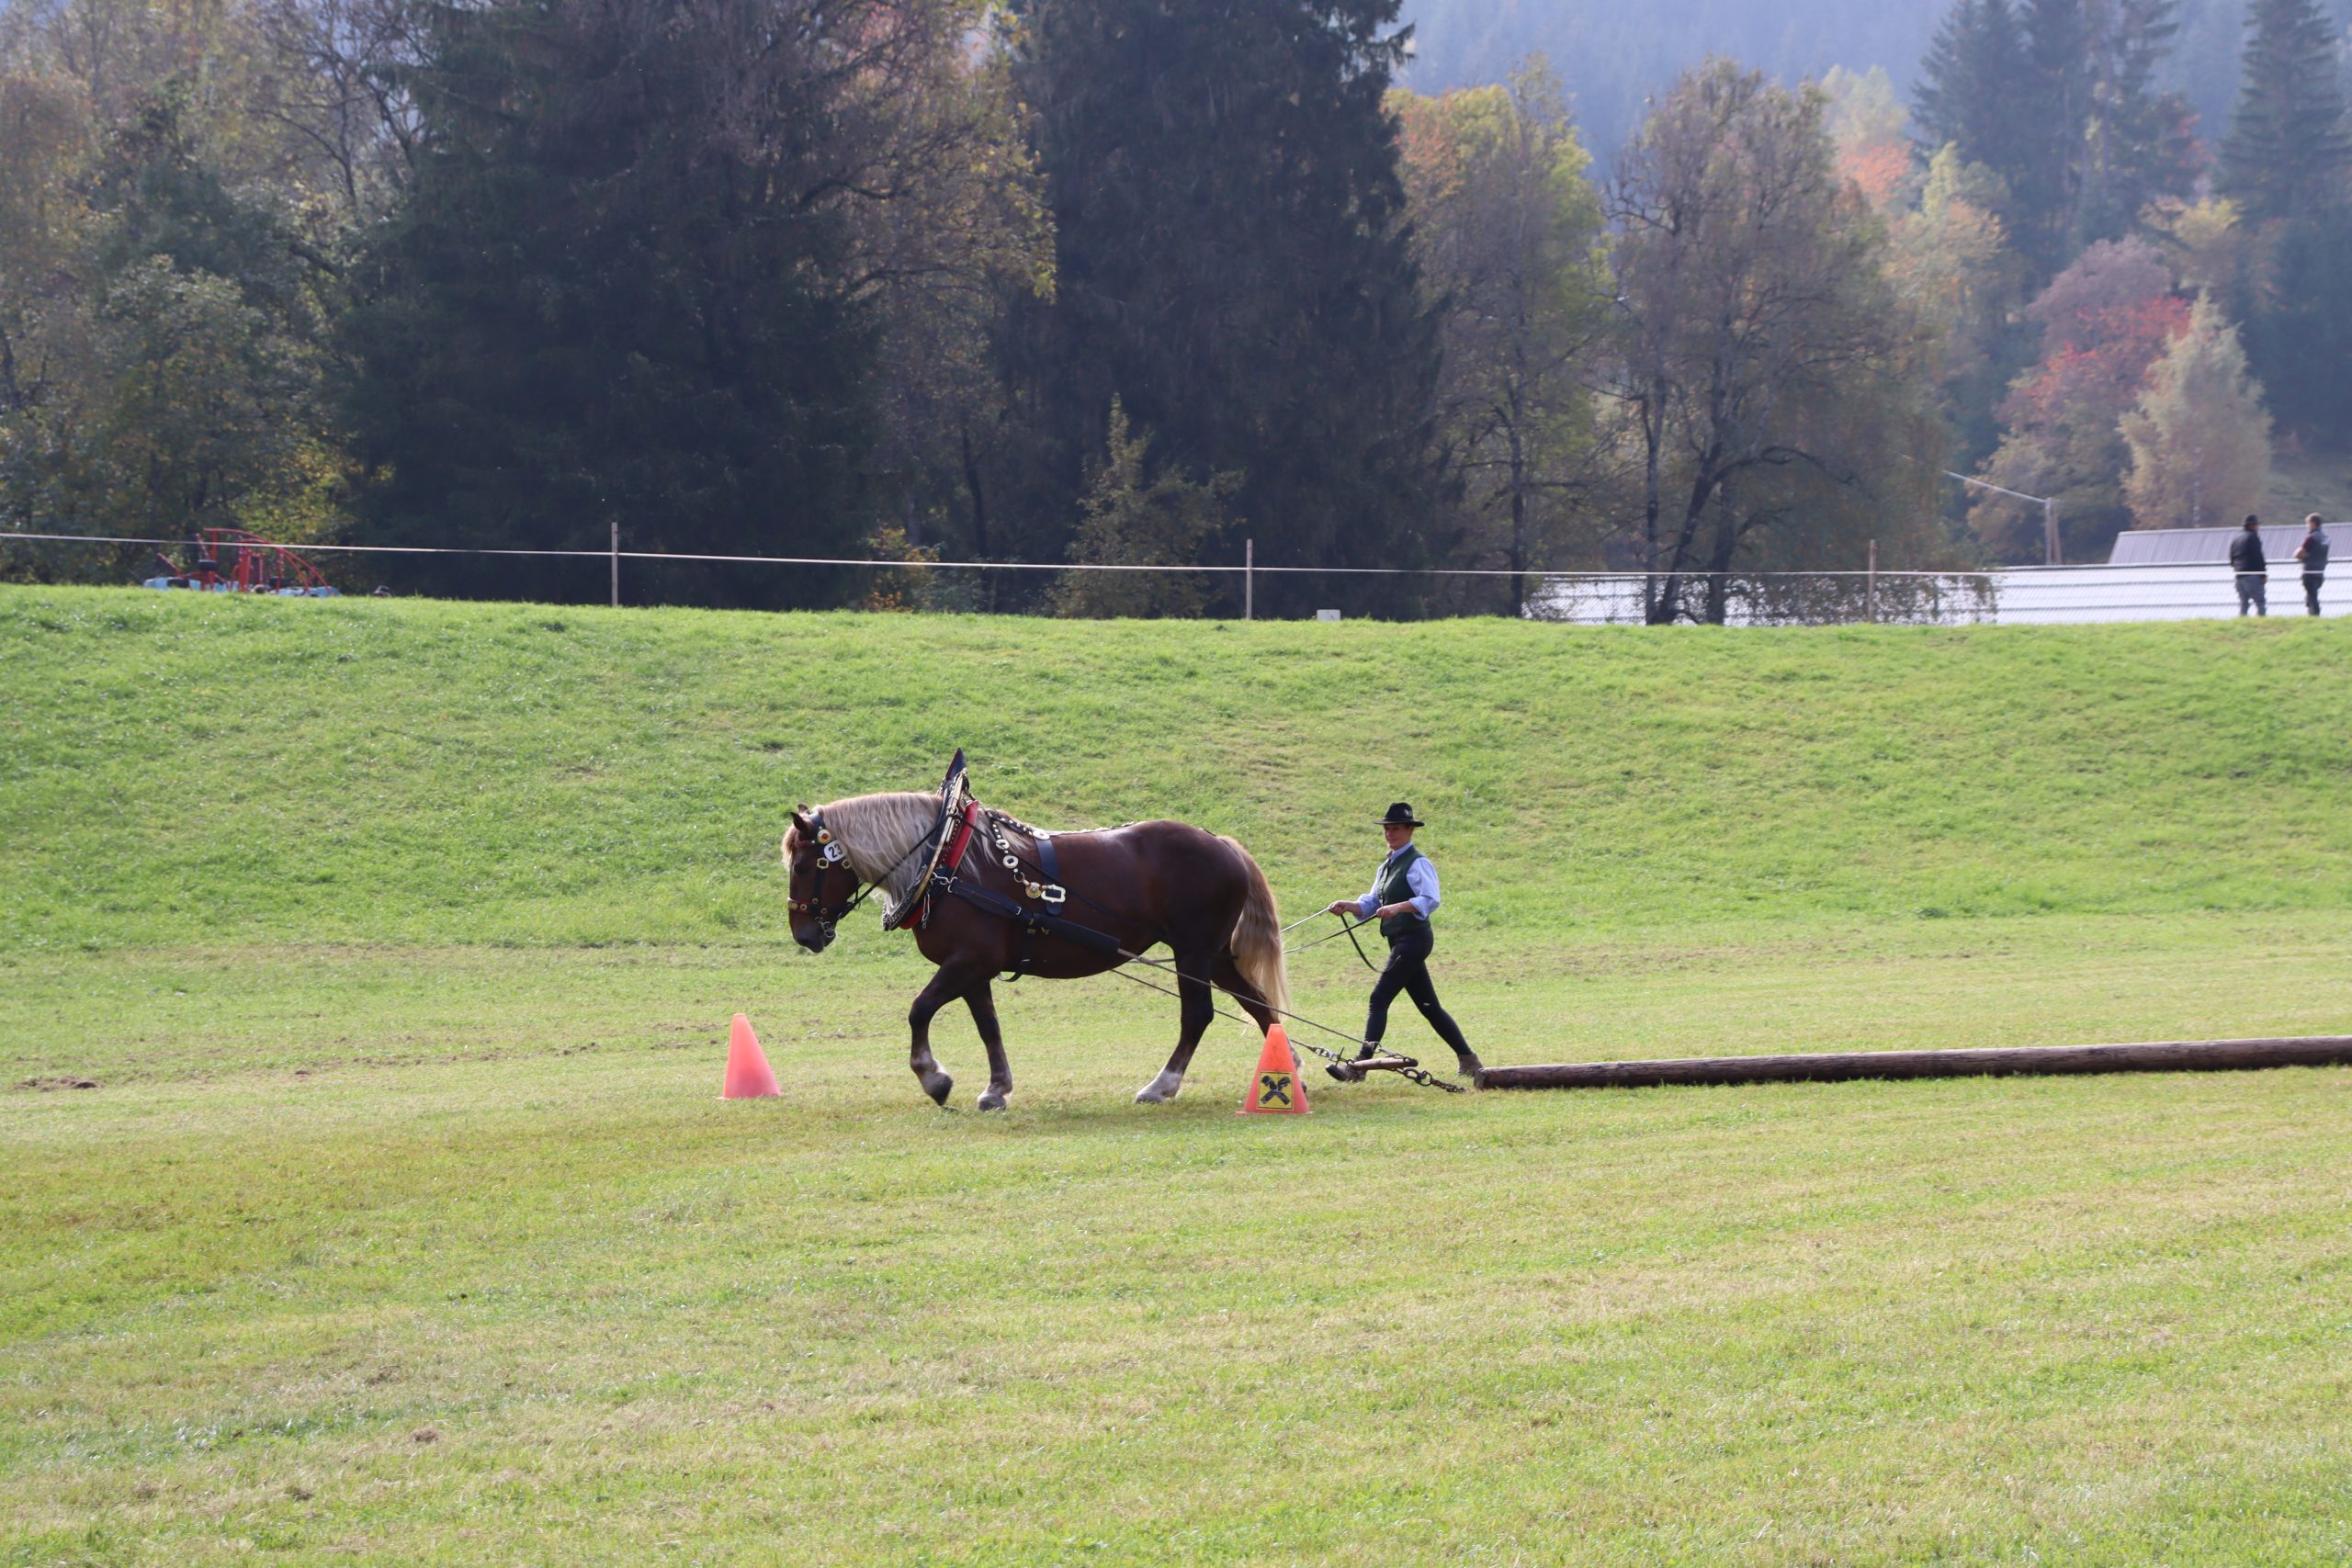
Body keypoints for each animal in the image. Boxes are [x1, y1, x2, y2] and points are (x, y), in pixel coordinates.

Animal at [780, 789, 1288, 1109]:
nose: (804, 934)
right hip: (1213, 954)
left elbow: (919, 1010)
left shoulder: (969, 961)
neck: (947, 861)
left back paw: (1162, 1086)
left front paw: (933, 1078)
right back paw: (1289, 1065)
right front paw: (996, 1089)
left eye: (803, 866)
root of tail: (1222, 843)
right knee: (1256, 1001)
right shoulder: (972, 969)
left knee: (1198, 1015)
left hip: (1192, 951)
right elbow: (988, 1027)